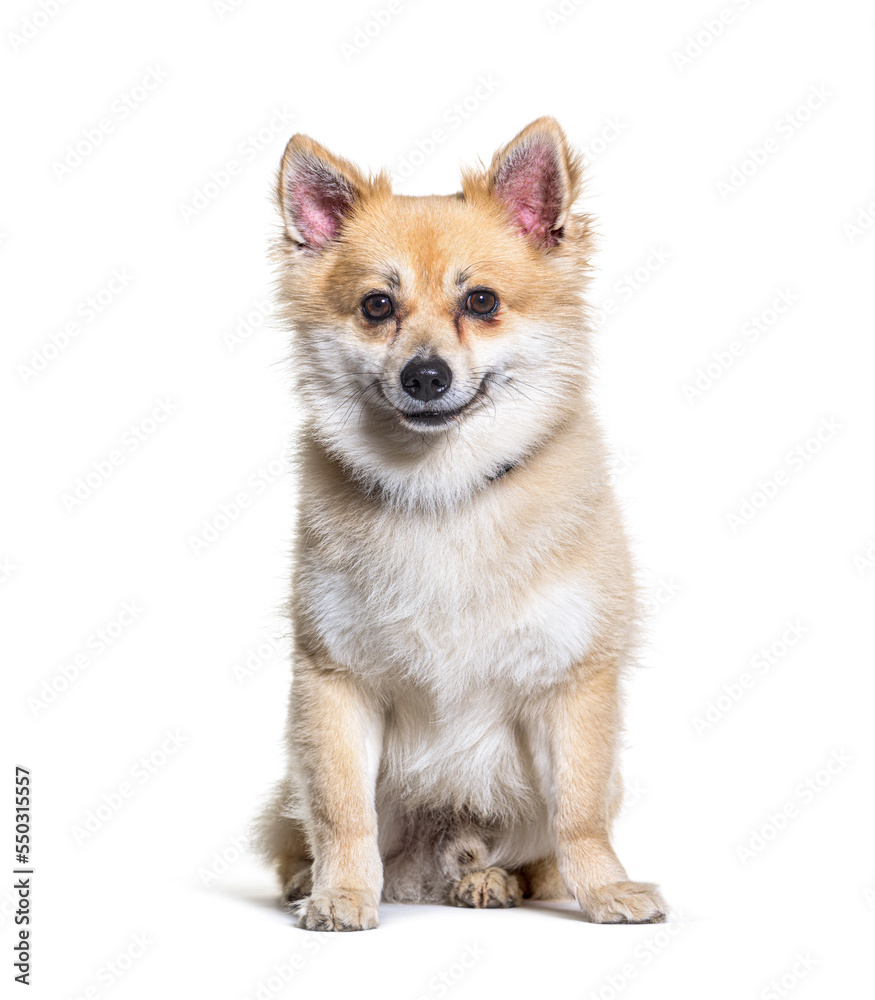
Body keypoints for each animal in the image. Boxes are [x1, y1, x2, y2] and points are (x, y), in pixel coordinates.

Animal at [256, 117, 668, 928]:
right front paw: (342, 892)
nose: (424, 376)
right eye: (376, 307)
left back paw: (491, 878)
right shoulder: (334, 683)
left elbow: (578, 813)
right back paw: (313, 878)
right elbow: (342, 810)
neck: (440, 492)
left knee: (532, 849)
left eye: (480, 301)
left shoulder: (571, 682)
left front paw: (605, 889)